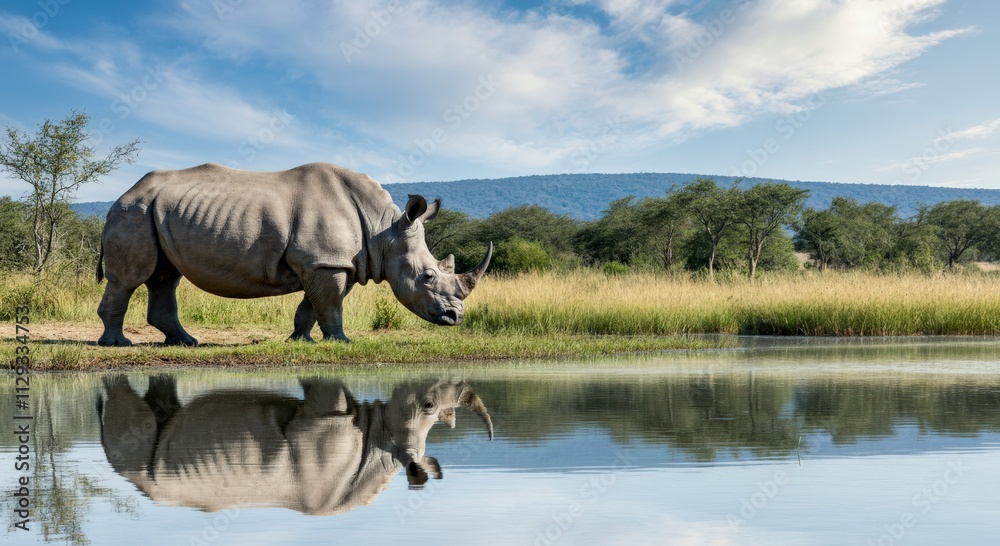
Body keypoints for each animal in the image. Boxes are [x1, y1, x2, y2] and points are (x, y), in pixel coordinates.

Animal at [96, 162, 492, 346]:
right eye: (427, 276)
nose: (455, 318)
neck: (384, 233)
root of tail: (123, 194)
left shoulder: (337, 262)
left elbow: (314, 306)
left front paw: (301, 340)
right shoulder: (325, 261)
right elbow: (330, 305)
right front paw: (342, 342)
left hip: (157, 211)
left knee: (165, 277)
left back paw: (187, 343)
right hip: (135, 211)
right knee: (131, 279)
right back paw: (118, 344)